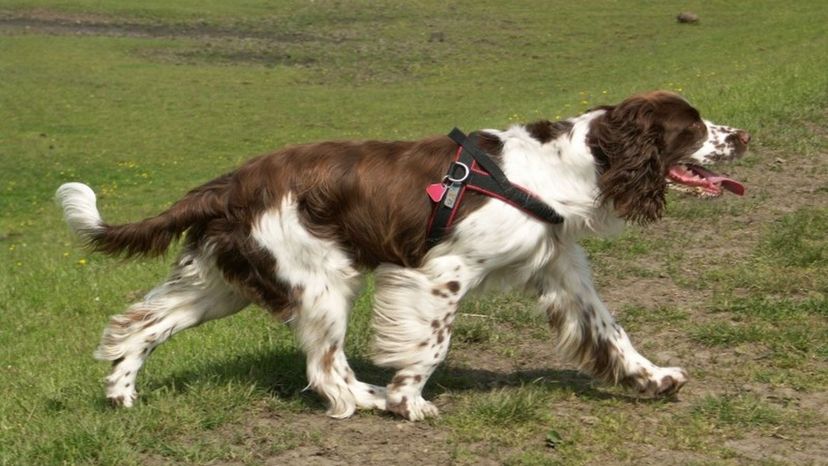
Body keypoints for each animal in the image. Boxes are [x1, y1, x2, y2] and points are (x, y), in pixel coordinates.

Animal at [55, 90, 748, 418]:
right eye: (692, 127)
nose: (741, 135)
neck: (564, 168)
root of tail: (231, 182)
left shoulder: (563, 271)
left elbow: (613, 333)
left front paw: (653, 379)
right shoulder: (441, 272)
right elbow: (432, 345)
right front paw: (408, 400)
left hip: (225, 283)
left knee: (140, 325)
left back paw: (120, 395)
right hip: (322, 280)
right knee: (325, 369)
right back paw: (366, 399)